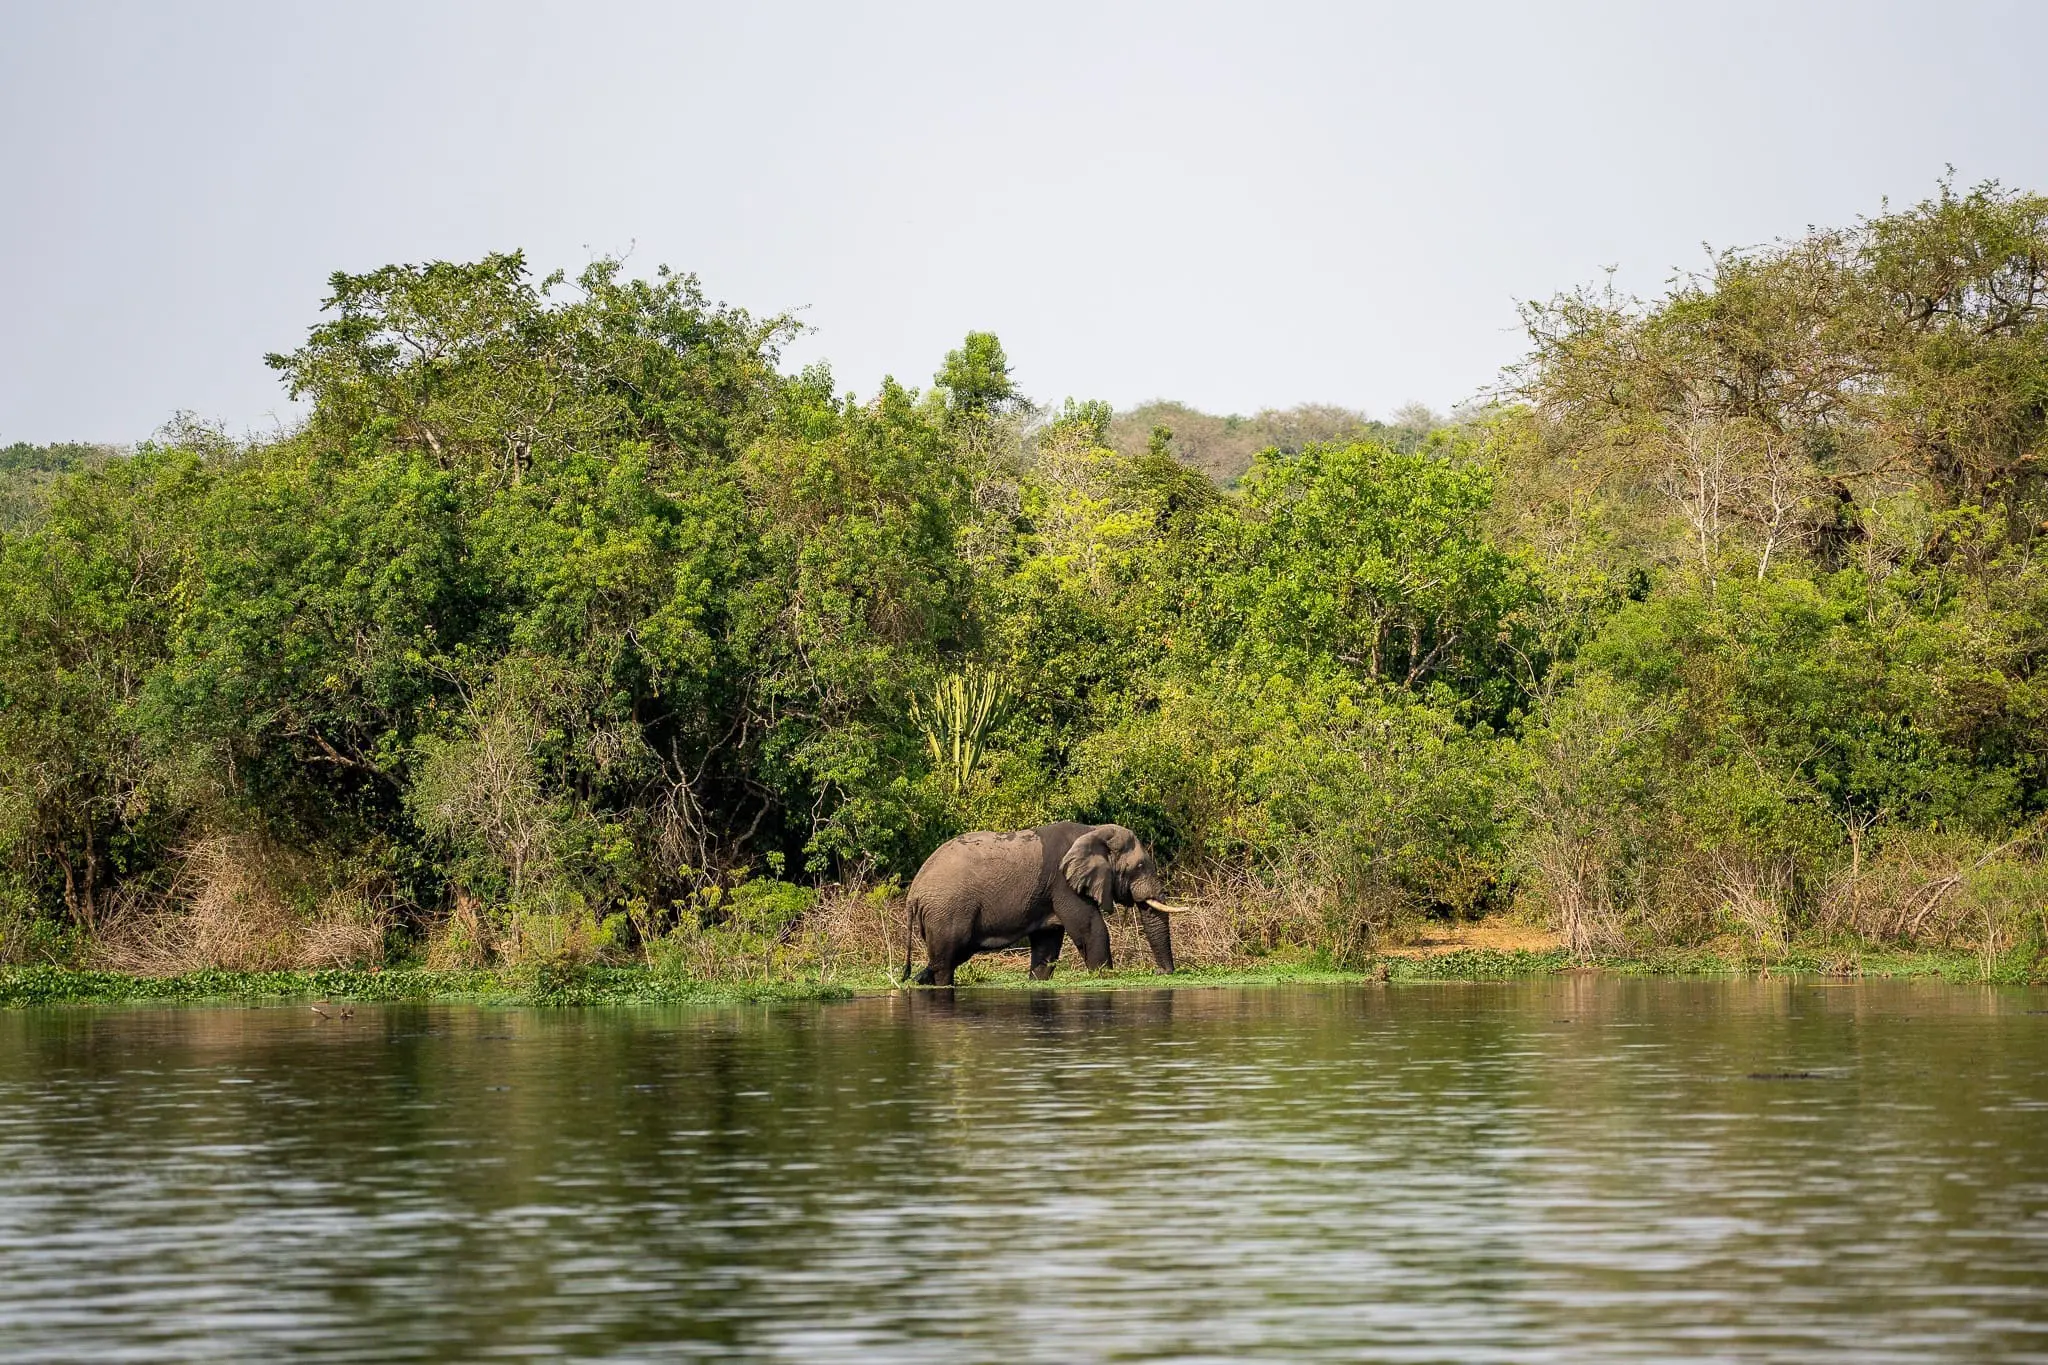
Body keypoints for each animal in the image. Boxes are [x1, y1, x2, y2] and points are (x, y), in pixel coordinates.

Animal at [901, 822, 1188, 986]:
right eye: (1139, 867)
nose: (1161, 973)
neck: (1093, 830)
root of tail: (914, 892)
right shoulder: (1063, 884)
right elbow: (1090, 930)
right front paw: (1104, 978)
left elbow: (1047, 941)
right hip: (947, 911)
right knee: (948, 958)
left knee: (948, 956)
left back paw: (918, 982)